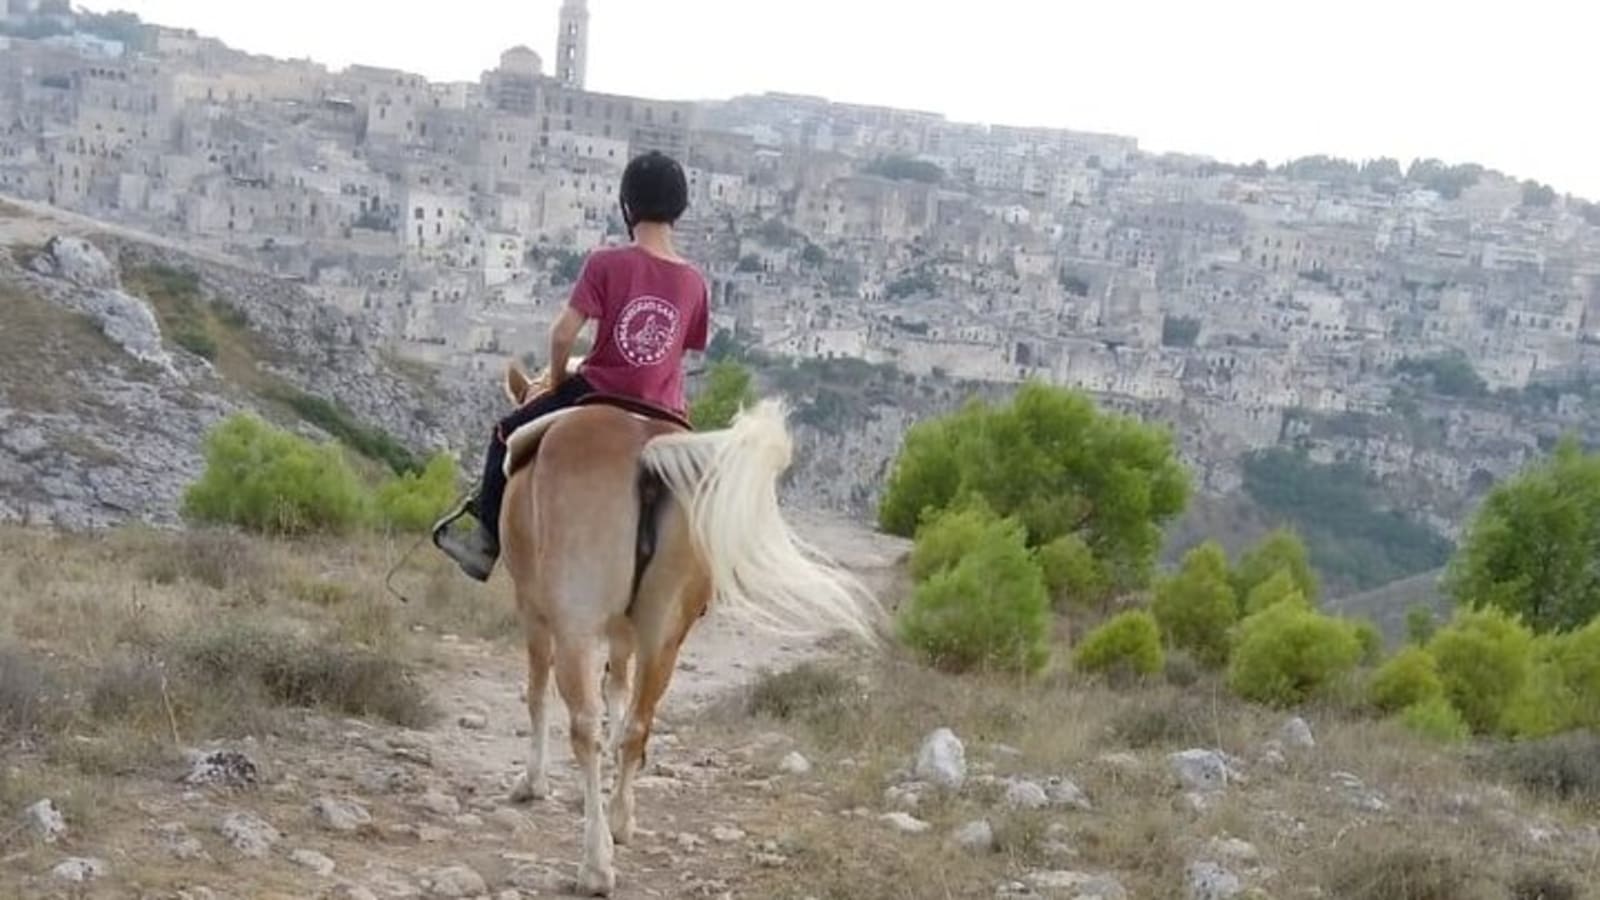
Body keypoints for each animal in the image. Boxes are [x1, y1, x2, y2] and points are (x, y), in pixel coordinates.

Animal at [492, 360, 882, 896]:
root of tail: (647, 453)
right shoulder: (625, 633)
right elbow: (619, 694)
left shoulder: (532, 610)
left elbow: (537, 694)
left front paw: (533, 783)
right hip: (664, 631)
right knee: (638, 722)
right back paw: (620, 822)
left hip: (576, 623)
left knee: (585, 726)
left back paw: (595, 864)